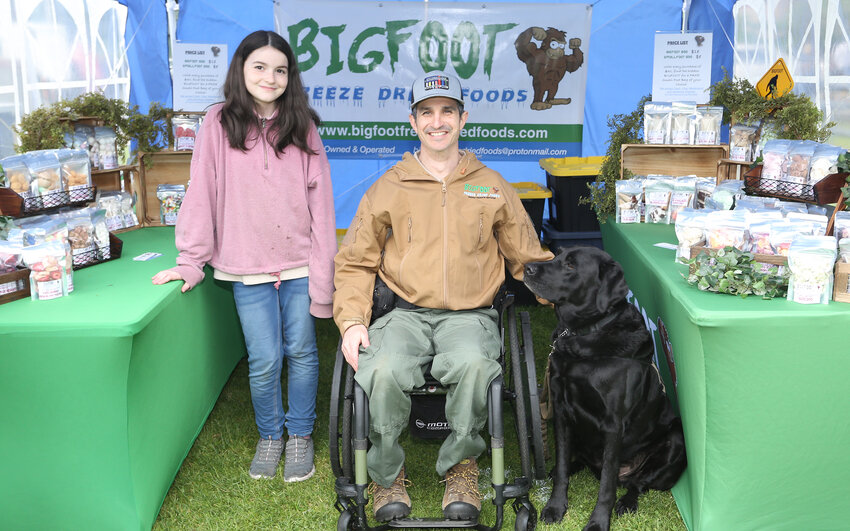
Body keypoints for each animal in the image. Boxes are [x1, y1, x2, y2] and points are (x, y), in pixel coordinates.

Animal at [524, 247, 684, 528]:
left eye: (571, 265)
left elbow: (607, 485)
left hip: (677, 441)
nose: (526, 268)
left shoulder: (613, 424)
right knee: (574, 462)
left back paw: (627, 502)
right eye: (556, 256)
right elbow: (563, 466)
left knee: (637, 484)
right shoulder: (561, 412)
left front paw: (598, 521)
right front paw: (555, 506)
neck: (582, 334)